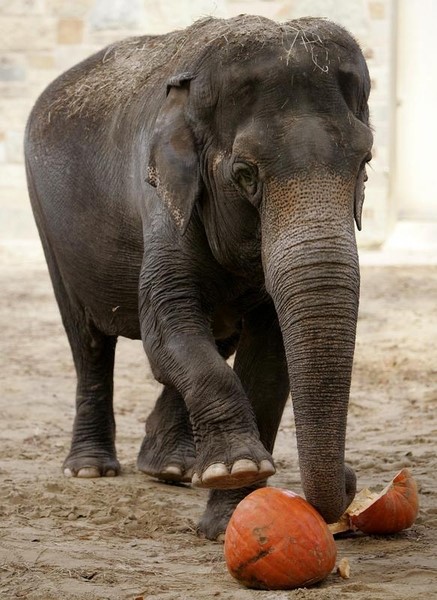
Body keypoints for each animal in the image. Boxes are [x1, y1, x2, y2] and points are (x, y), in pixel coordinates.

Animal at [23, 14, 372, 540]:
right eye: (246, 174)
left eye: (365, 165)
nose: (351, 481)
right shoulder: (161, 196)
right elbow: (166, 322)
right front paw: (238, 470)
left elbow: (268, 356)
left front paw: (227, 518)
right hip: (49, 227)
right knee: (87, 341)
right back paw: (89, 469)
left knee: (213, 336)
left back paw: (171, 468)